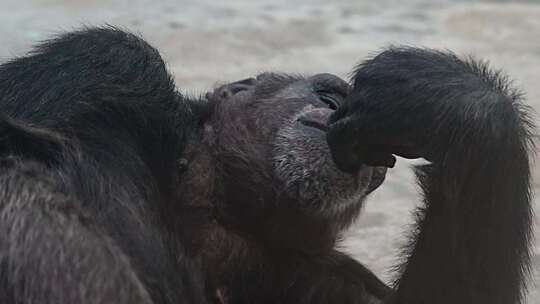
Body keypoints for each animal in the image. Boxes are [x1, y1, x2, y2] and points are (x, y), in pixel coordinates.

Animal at [0, 26, 532, 304]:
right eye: (328, 96)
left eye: (384, 163)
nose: (371, 165)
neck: (210, 194)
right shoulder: (106, 61)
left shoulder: (318, 275)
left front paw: (449, 101)